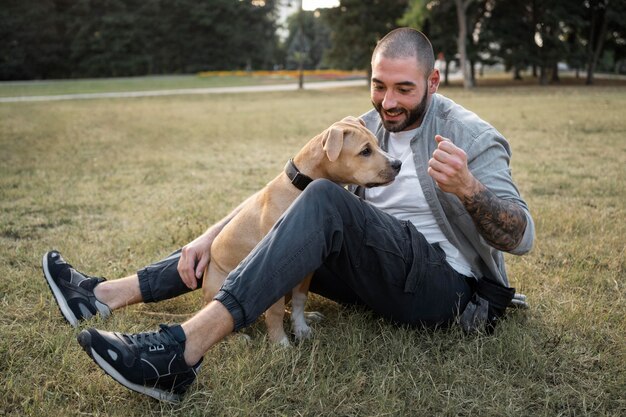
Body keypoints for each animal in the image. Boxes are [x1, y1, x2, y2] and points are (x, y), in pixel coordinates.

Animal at [202, 116, 402, 344]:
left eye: (377, 145)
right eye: (365, 151)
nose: (398, 164)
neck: (301, 187)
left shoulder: (306, 270)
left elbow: (299, 300)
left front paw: (301, 328)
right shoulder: (276, 272)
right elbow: (274, 310)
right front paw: (280, 343)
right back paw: (238, 338)